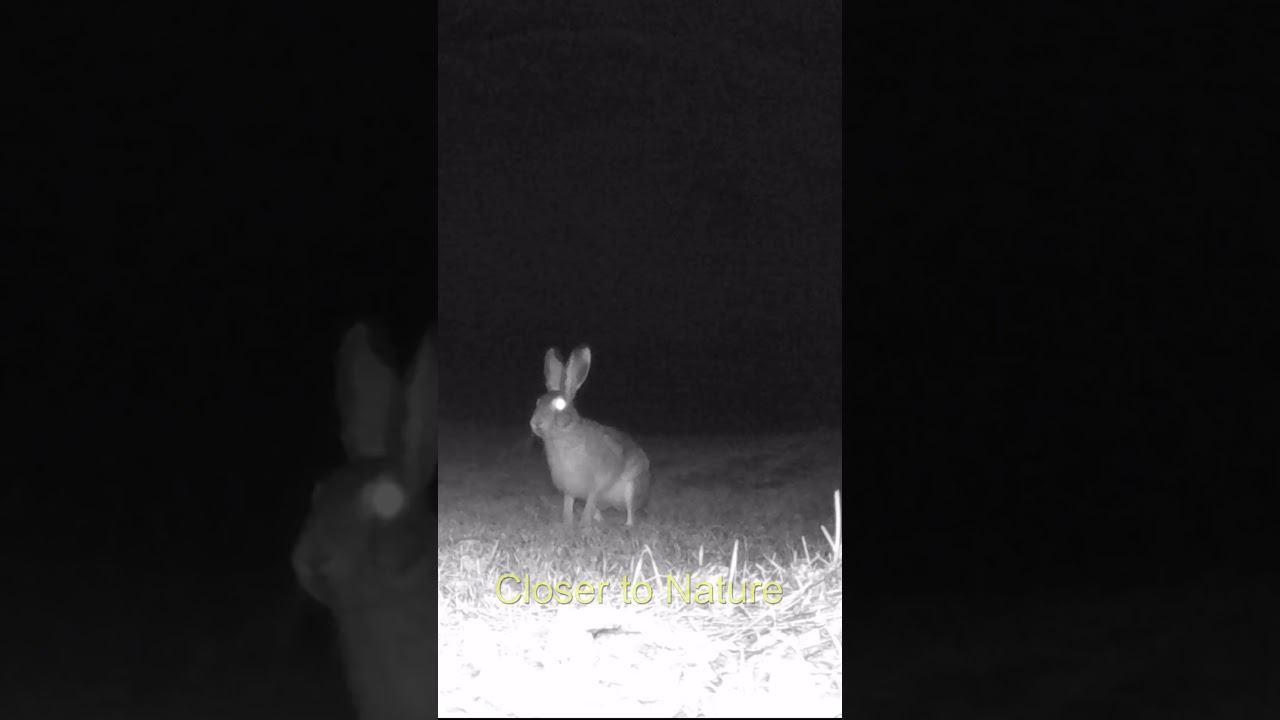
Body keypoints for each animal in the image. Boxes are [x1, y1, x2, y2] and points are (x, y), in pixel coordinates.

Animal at [530, 345, 651, 528]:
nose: (536, 423)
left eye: (560, 405)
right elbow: (568, 502)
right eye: (537, 402)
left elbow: (590, 502)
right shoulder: (570, 488)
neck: (563, 435)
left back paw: (627, 525)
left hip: (633, 486)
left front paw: (583, 525)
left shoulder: (596, 485)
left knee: (630, 510)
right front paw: (567, 522)